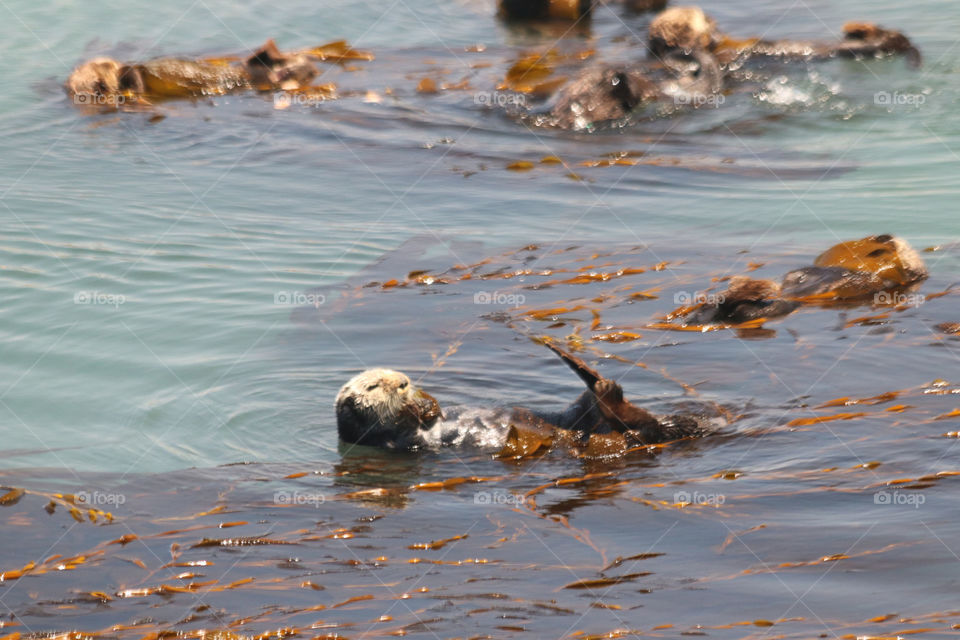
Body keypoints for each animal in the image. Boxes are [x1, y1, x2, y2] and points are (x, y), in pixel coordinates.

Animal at [334, 342, 705, 450]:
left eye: (395, 374)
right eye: (373, 386)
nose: (403, 382)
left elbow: (436, 411)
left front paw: (426, 403)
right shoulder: (395, 440)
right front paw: (412, 409)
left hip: (581, 415)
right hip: (607, 431)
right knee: (630, 422)